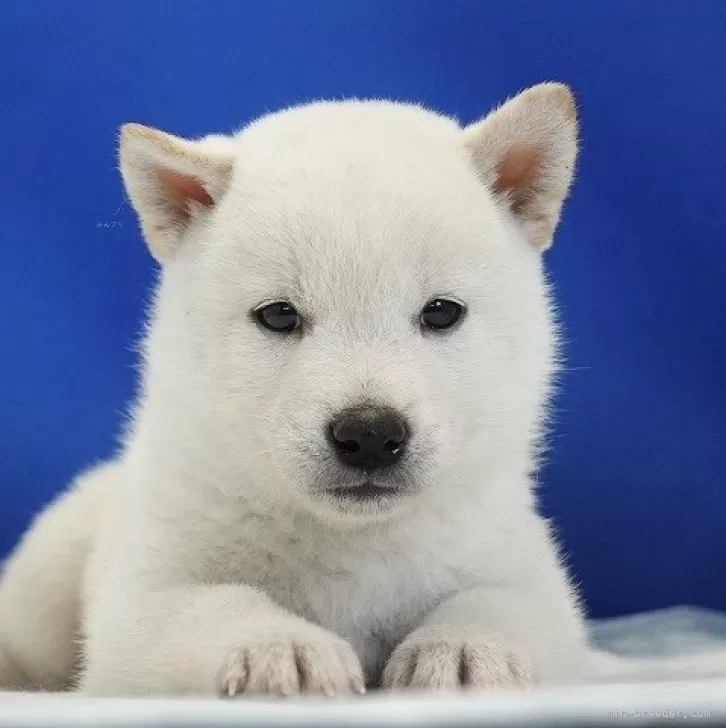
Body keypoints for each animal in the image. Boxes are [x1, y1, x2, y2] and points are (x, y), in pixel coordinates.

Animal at [0, 82, 716, 696]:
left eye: (441, 312)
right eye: (279, 316)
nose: (370, 433)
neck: (353, 539)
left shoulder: (519, 563)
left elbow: (502, 602)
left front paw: (462, 648)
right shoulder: (151, 582)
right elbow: (210, 605)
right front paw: (280, 648)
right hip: (57, 557)